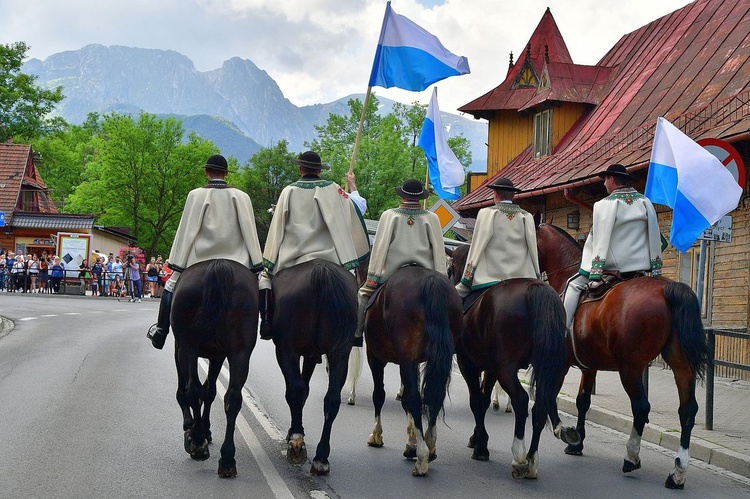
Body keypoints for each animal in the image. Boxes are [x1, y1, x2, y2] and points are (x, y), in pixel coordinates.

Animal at [171, 260, 262, 478]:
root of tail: (219, 265)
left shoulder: (180, 347)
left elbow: (189, 390)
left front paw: (192, 427)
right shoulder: (218, 355)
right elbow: (210, 391)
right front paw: (205, 428)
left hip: (188, 347)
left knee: (192, 390)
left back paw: (197, 443)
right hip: (240, 353)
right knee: (233, 398)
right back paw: (227, 459)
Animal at [272, 260, 360, 474]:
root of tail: (322, 271)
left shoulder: (289, 352)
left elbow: (296, 390)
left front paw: (294, 433)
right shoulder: (312, 354)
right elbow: (307, 389)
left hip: (287, 351)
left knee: (296, 389)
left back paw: (296, 443)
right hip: (340, 355)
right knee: (332, 400)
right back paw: (321, 457)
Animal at [364, 266, 464, 476]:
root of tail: (431, 282)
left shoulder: (376, 356)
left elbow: (380, 394)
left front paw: (376, 435)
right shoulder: (413, 361)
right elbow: (407, 399)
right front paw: (411, 443)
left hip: (403, 359)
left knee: (417, 400)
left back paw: (422, 458)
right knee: (435, 397)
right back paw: (430, 446)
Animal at [446, 246, 580, 480]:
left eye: (449, 269)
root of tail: (536, 288)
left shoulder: (468, 364)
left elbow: (476, 400)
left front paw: (481, 446)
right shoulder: (490, 369)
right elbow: (483, 400)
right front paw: (478, 439)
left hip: (506, 369)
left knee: (521, 400)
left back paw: (519, 456)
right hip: (551, 370)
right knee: (540, 406)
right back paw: (532, 460)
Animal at [536, 225, 708, 490]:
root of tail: (667, 289)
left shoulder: (561, 363)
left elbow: (550, 395)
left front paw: (565, 433)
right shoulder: (589, 367)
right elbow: (583, 401)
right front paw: (577, 442)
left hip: (631, 369)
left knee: (641, 408)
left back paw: (631, 457)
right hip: (680, 364)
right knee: (687, 410)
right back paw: (677, 473)